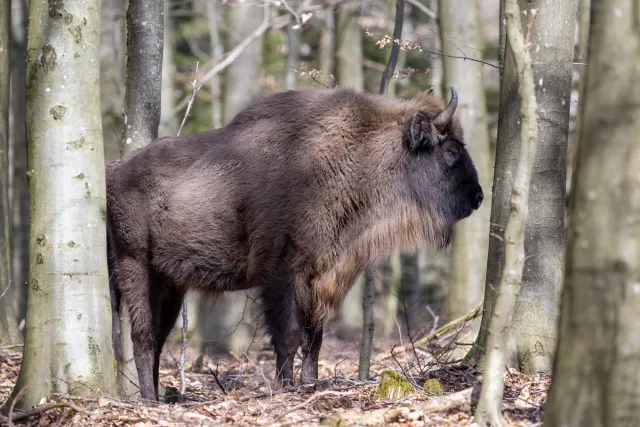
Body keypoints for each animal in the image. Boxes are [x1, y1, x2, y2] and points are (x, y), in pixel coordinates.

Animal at [107, 86, 482, 402]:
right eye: (450, 150)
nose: (478, 197)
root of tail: (113, 171)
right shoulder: (282, 272)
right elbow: (288, 335)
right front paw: (287, 388)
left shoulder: (321, 275)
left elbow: (314, 337)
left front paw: (310, 383)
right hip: (133, 263)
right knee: (142, 336)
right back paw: (149, 399)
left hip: (169, 283)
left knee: (157, 337)